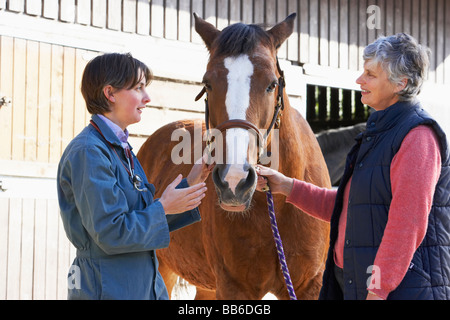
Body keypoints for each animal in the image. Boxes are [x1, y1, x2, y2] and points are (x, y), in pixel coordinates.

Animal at [137, 13, 330, 300]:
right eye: (207, 84)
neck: (277, 207)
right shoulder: (234, 287)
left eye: (272, 84)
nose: (235, 180)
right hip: (164, 269)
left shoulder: (309, 287)